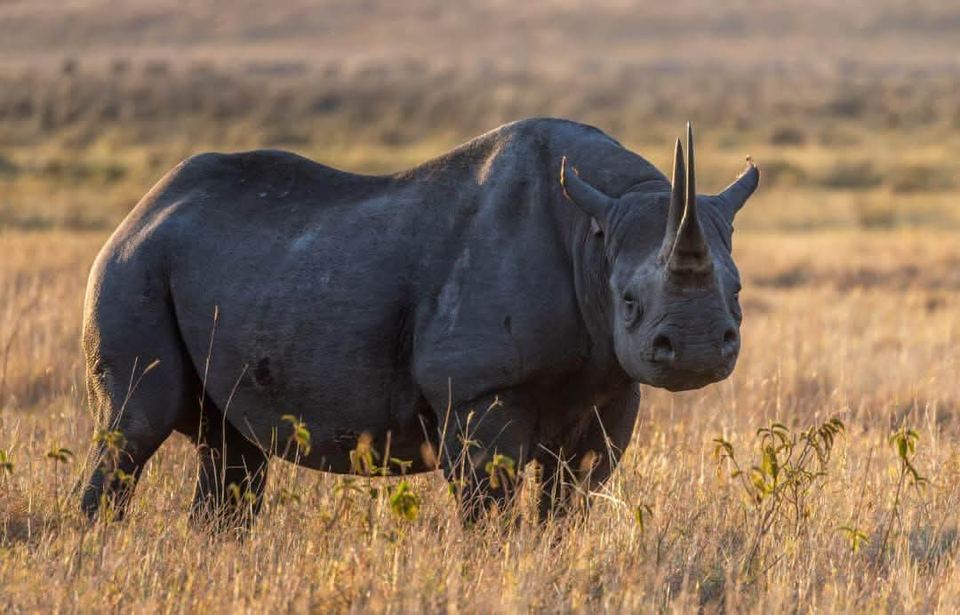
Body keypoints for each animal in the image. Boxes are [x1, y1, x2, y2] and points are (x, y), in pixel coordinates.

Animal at [80, 118, 758, 525]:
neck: (592, 236)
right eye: (629, 302)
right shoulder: (480, 387)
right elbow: (488, 505)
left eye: (737, 292)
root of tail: (140, 210)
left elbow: (570, 498)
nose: (698, 350)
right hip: (133, 266)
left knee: (232, 451)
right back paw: (97, 545)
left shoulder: (611, 385)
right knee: (133, 425)